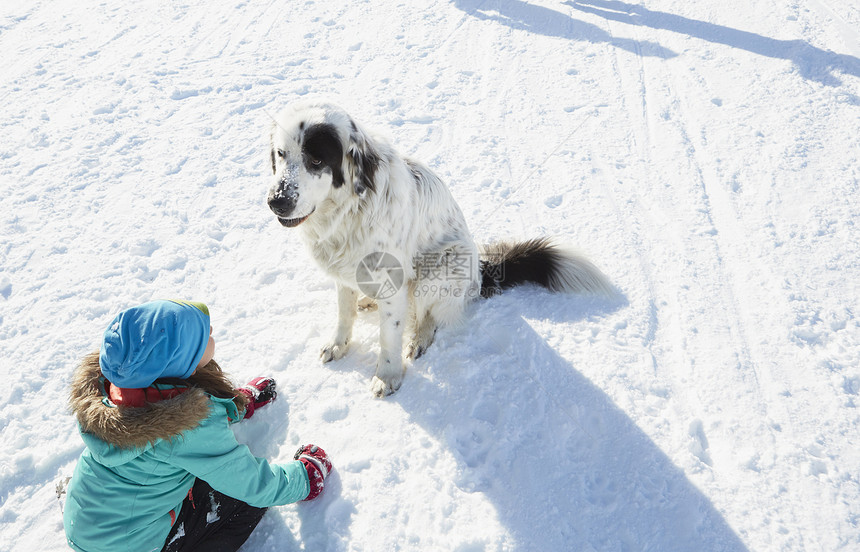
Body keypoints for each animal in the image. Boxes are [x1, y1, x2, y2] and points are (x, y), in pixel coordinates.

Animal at [268, 101, 612, 396]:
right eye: (281, 154)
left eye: (316, 160)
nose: (276, 201)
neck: (348, 211)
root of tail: (481, 272)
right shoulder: (343, 275)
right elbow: (344, 314)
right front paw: (339, 344)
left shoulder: (394, 283)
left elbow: (389, 336)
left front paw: (388, 376)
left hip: (439, 266)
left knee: (430, 317)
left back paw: (417, 340)